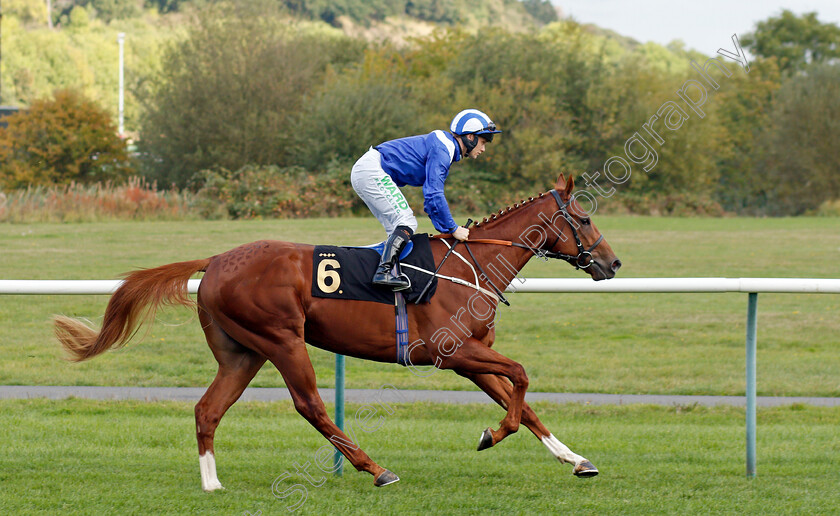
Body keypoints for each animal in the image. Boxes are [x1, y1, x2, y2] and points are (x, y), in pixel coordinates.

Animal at [50, 174, 616, 492]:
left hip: (242, 352)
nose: (613, 263)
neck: (470, 263)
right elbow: (520, 379)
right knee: (310, 406)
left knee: (208, 409)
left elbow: (522, 400)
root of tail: (215, 260)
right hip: (281, 340)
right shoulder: (452, 352)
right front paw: (491, 435)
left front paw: (576, 460)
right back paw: (376, 469)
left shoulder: (471, 356)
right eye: (584, 218)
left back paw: (212, 483)